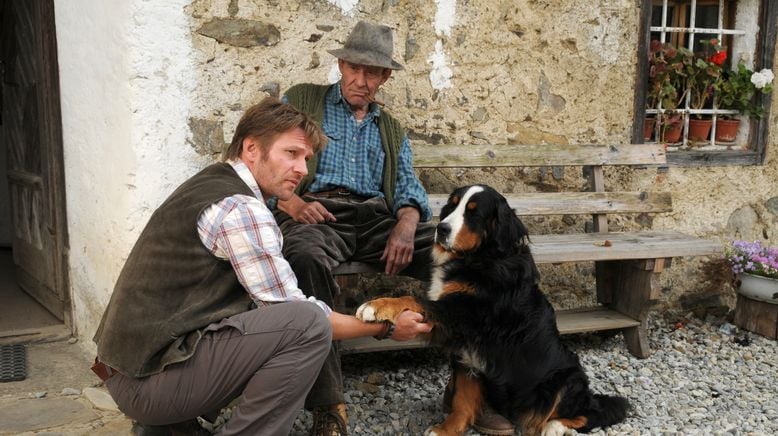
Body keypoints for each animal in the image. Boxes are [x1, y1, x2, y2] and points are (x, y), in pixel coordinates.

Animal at [354, 185, 628, 436]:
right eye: (452, 206)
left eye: (474, 213)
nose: (441, 229)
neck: (478, 259)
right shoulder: (466, 350)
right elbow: (463, 401)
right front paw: (447, 430)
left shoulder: (463, 313)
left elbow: (414, 299)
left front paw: (375, 306)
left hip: (565, 379)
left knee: (594, 412)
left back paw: (555, 426)